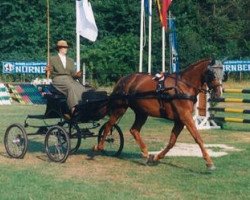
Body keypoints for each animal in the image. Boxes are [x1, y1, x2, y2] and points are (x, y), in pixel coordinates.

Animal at [94, 58, 224, 170]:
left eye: (223, 73)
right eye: (212, 73)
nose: (218, 94)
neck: (183, 86)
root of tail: (123, 79)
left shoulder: (179, 120)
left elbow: (172, 142)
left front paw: (156, 157)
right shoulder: (185, 117)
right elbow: (198, 138)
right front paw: (209, 162)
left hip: (142, 112)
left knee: (134, 130)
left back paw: (146, 154)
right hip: (120, 108)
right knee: (109, 125)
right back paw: (99, 146)